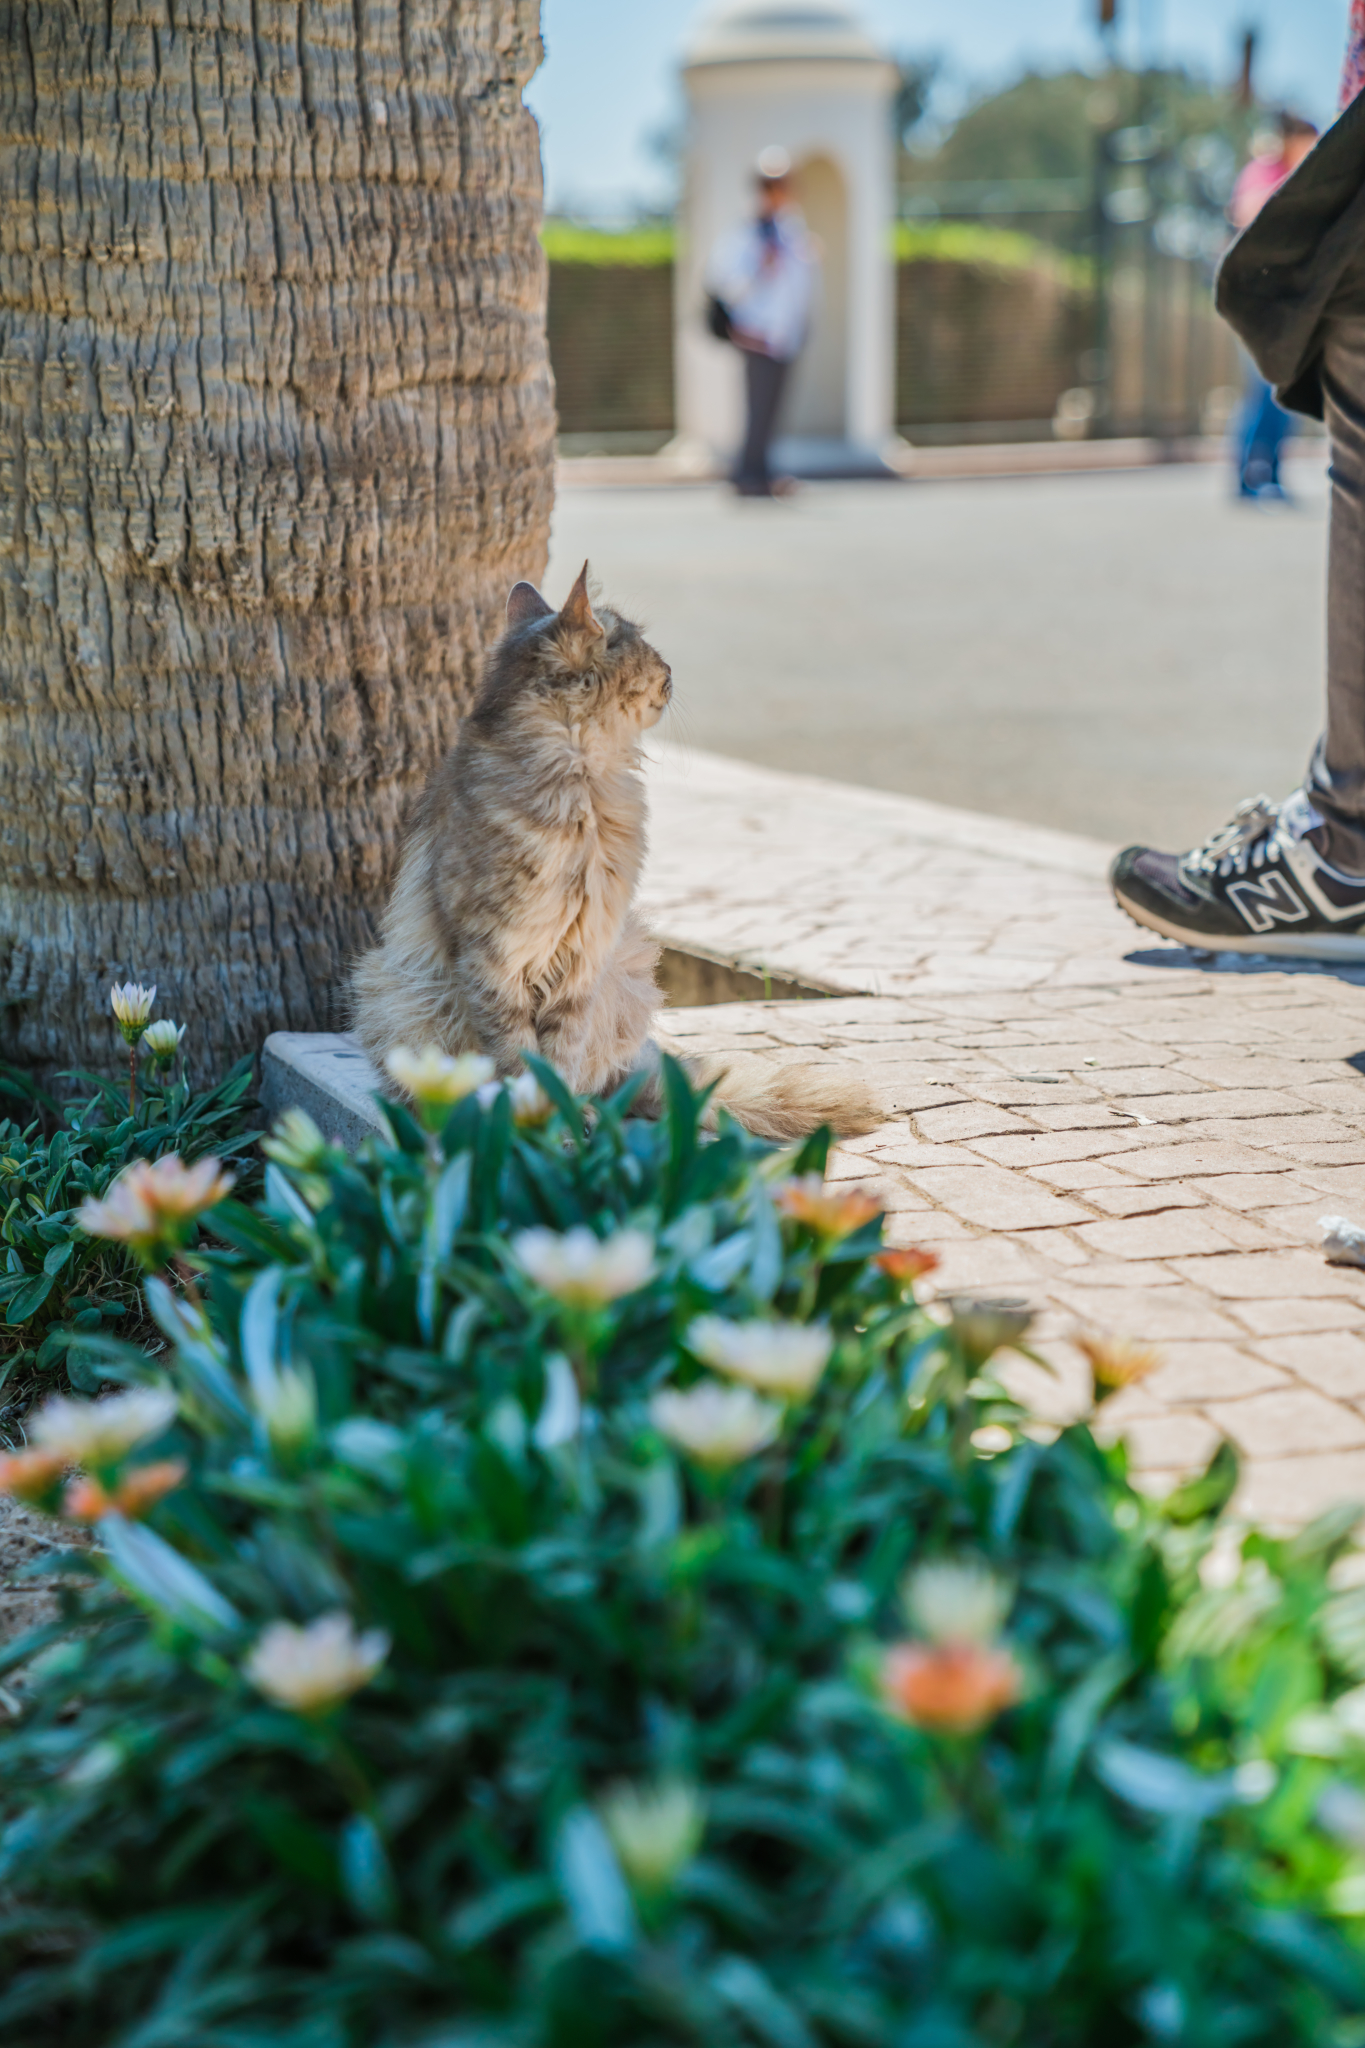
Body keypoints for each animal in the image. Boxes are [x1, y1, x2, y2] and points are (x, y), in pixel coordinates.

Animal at [351, 561, 879, 1146]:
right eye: (642, 646)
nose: (671, 668)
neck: (581, 787)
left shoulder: (583, 958)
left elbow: (559, 1062)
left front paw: (561, 1126)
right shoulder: (493, 958)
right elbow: (517, 1061)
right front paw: (532, 1133)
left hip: (623, 981)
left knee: (601, 1084)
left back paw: (590, 1117)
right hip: (394, 989)